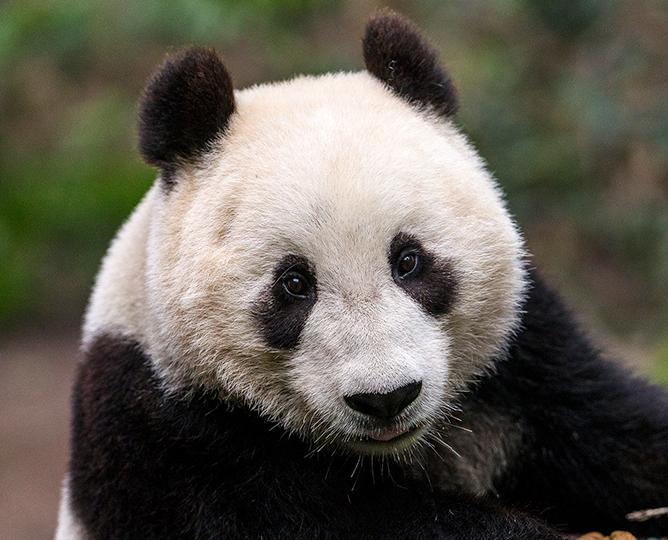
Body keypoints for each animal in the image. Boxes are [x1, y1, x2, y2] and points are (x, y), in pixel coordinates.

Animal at [56, 11, 668, 540]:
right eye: (294, 284)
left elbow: (622, 436)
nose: (386, 398)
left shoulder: (529, 360)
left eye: (409, 261)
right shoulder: (171, 439)